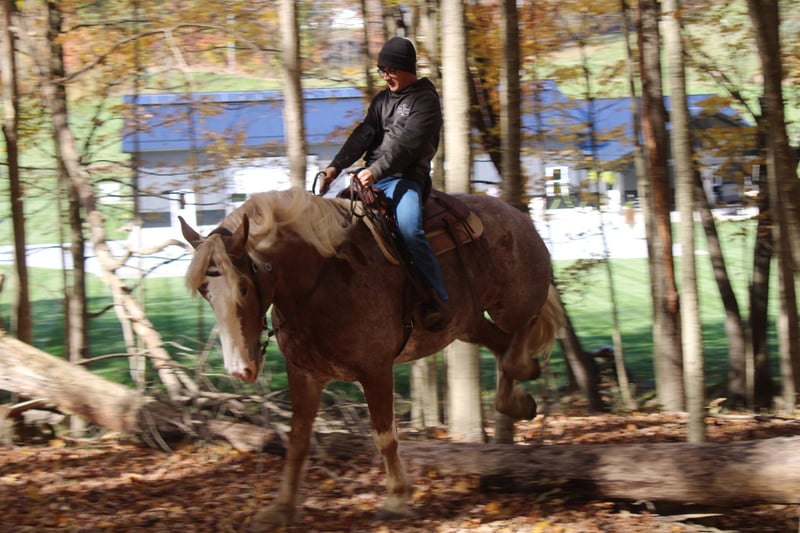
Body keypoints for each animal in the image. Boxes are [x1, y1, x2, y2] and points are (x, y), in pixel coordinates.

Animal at [180, 186, 562, 531]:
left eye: (244, 287)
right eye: (206, 292)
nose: (239, 369)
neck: (320, 280)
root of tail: (518, 216)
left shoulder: (375, 370)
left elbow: (384, 435)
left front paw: (396, 499)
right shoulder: (304, 373)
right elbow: (299, 439)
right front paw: (281, 508)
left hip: (512, 305)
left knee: (520, 335)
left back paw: (522, 372)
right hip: (467, 323)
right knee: (502, 345)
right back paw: (519, 400)